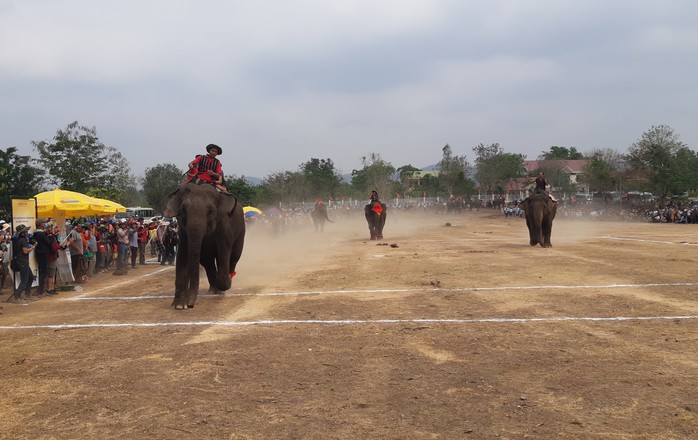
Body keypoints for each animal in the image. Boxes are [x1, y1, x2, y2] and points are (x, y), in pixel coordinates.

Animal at [163, 182, 245, 310]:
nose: (190, 305)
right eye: (183, 211)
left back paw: (226, 283)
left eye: (210, 211)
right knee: (208, 262)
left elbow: (224, 252)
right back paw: (213, 290)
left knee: (234, 257)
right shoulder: (182, 230)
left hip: (241, 231)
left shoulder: (224, 226)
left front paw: (226, 284)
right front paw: (179, 305)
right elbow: (182, 254)